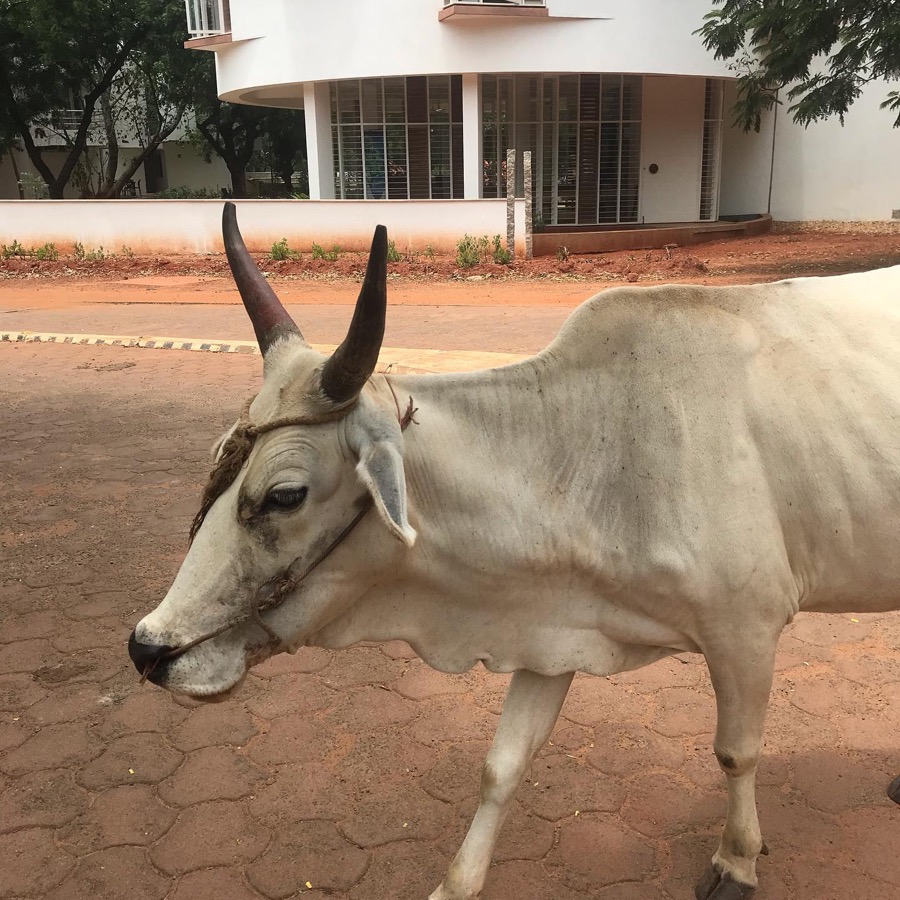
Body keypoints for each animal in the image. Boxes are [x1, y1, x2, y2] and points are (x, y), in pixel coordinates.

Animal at [129, 202, 900, 900]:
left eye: (284, 494)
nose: (145, 648)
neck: (594, 447)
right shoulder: (551, 626)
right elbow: (501, 767)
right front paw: (455, 885)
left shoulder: (746, 630)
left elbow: (736, 753)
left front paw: (737, 862)